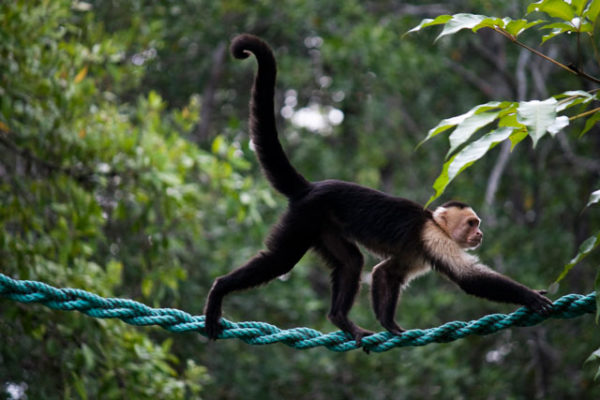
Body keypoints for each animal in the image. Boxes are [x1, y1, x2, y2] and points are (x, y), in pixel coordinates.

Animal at [204, 33, 552, 344]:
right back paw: (220, 288)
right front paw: (530, 295)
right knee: (281, 261)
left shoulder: (420, 251)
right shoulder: (434, 240)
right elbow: (470, 279)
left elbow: (385, 272)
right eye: (472, 223)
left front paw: (390, 325)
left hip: (323, 225)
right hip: (305, 216)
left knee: (351, 262)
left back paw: (342, 320)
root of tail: (311, 187)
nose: (480, 234)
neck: (435, 224)